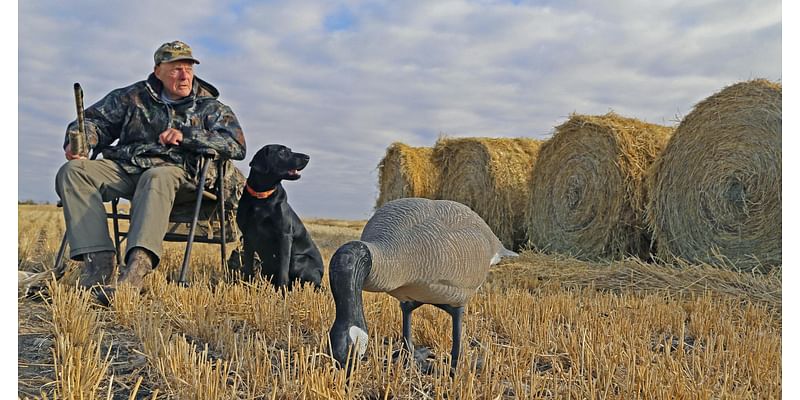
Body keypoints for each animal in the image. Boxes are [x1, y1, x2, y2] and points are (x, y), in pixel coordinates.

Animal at [234, 144, 324, 288]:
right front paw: (247, 286)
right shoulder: (248, 236)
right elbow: (248, 266)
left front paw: (282, 290)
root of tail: (321, 274)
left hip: (298, 260)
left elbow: (283, 268)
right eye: (282, 151)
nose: (307, 157)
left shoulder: (284, 235)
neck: (262, 197)